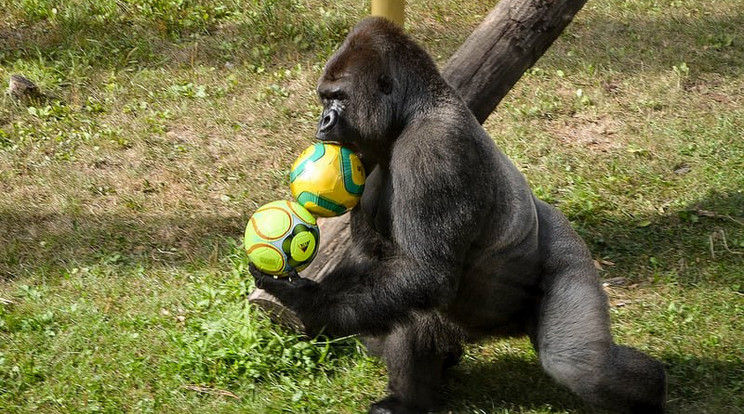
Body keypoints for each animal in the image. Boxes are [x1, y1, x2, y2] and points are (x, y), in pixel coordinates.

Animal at [251, 16, 668, 414]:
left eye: (338, 97)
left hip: (570, 254)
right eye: (325, 98)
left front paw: (306, 302)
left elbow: (422, 274)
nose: (323, 122)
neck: (412, 113)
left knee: (579, 364)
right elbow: (372, 259)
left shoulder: (435, 151)